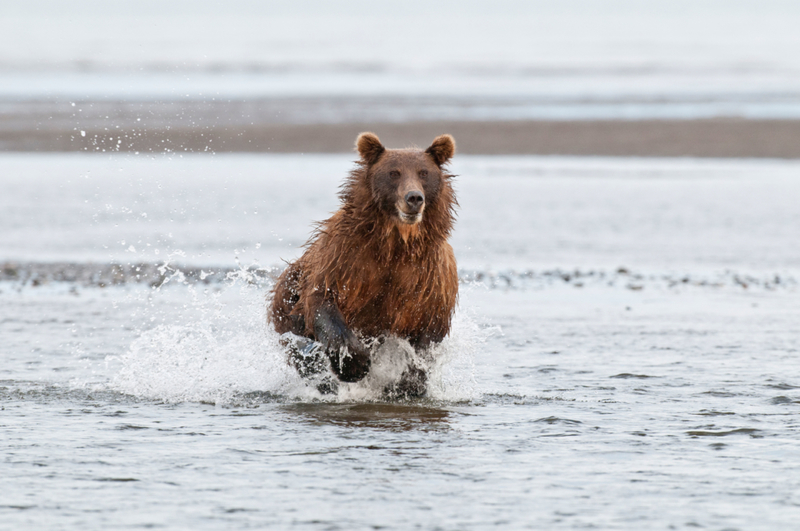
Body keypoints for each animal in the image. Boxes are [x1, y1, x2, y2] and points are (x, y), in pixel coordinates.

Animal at [268, 131, 456, 392]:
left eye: (424, 173)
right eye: (394, 173)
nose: (414, 198)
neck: (396, 245)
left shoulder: (429, 278)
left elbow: (429, 331)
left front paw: (409, 382)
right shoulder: (345, 259)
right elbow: (323, 301)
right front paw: (353, 364)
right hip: (287, 299)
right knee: (298, 345)